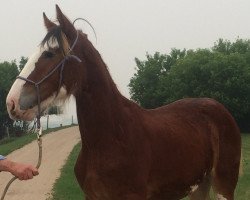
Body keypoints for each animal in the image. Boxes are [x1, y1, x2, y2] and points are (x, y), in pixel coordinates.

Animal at [5, 4, 241, 200]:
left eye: (49, 53)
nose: (11, 103)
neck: (113, 138)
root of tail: (218, 107)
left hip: (223, 185)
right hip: (198, 187)